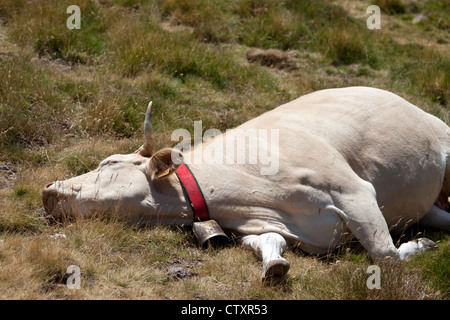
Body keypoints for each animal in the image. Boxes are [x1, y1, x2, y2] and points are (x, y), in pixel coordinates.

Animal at [42, 86, 450, 282]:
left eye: (108, 163)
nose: (48, 191)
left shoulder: (355, 193)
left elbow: (386, 256)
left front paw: (419, 246)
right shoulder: (269, 226)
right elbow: (268, 243)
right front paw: (275, 265)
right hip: (427, 205)